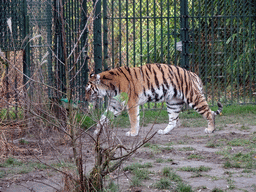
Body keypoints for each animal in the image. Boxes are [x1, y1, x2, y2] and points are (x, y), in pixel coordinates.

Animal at [85, 63, 222, 136]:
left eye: (88, 90)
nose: (85, 99)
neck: (109, 88)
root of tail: (192, 74)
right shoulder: (115, 104)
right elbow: (103, 117)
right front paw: (97, 131)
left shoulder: (131, 103)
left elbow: (133, 119)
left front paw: (133, 133)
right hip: (173, 102)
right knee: (173, 121)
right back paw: (163, 131)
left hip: (192, 97)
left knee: (209, 113)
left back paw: (210, 129)